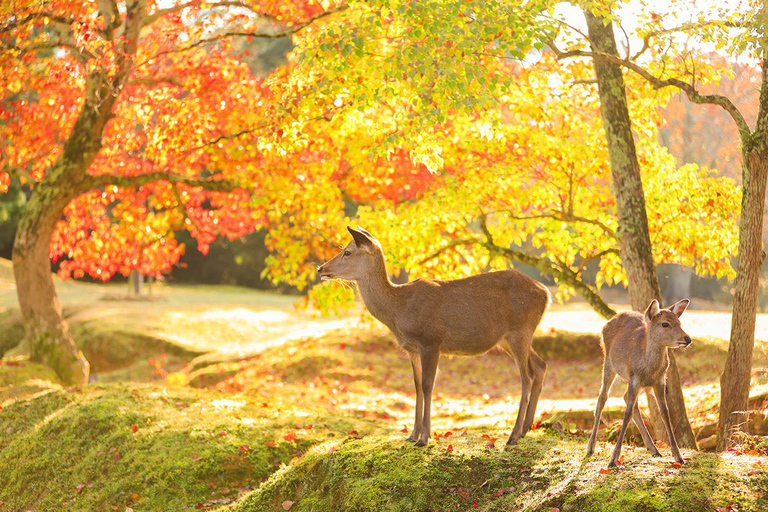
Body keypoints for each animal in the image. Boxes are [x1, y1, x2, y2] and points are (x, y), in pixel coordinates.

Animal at [318, 226, 552, 446]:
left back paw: (514, 435)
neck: (399, 311)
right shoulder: (412, 348)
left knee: (526, 376)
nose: (321, 268)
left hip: (520, 330)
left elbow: (427, 384)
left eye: (347, 252)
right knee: (540, 366)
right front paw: (412, 435)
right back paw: (526, 428)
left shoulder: (431, 340)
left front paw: (424, 438)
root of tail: (546, 293)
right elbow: (416, 386)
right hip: (509, 339)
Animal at [584, 300, 692, 468]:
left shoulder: (659, 380)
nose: (687, 339)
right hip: (608, 363)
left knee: (626, 398)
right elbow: (626, 414)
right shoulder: (635, 377)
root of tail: (607, 322)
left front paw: (679, 457)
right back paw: (590, 447)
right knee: (602, 398)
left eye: (679, 322)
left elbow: (665, 412)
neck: (648, 368)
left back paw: (654, 449)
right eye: (665, 324)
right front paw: (613, 459)